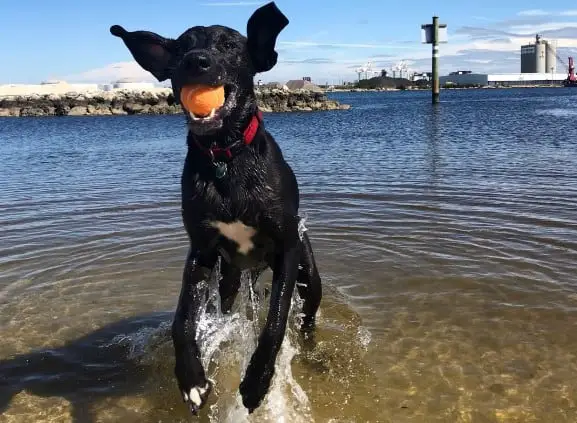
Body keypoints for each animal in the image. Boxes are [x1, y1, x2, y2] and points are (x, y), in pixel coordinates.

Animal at [110, 1, 322, 416]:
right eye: (181, 47)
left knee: (306, 320)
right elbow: (181, 320)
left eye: (229, 45)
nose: (196, 61)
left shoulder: (287, 248)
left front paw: (257, 382)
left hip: (309, 278)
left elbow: (275, 321)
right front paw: (192, 379)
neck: (224, 155)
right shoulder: (202, 251)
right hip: (229, 278)